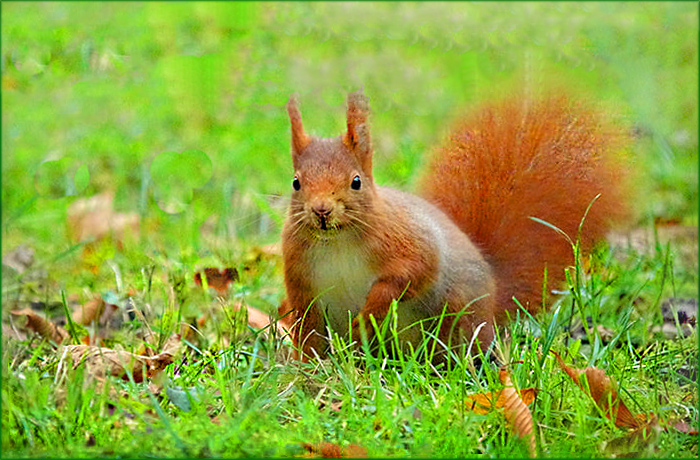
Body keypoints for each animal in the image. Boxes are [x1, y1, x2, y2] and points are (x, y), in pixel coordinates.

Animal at [278, 89, 629, 363]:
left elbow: (412, 273)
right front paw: (306, 369)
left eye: (356, 182)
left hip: (458, 314)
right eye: (296, 183)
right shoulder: (301, 278)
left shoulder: (410, 240)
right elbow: (308, 328)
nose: (321, 210)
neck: (336, 240)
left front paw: (367, 318)